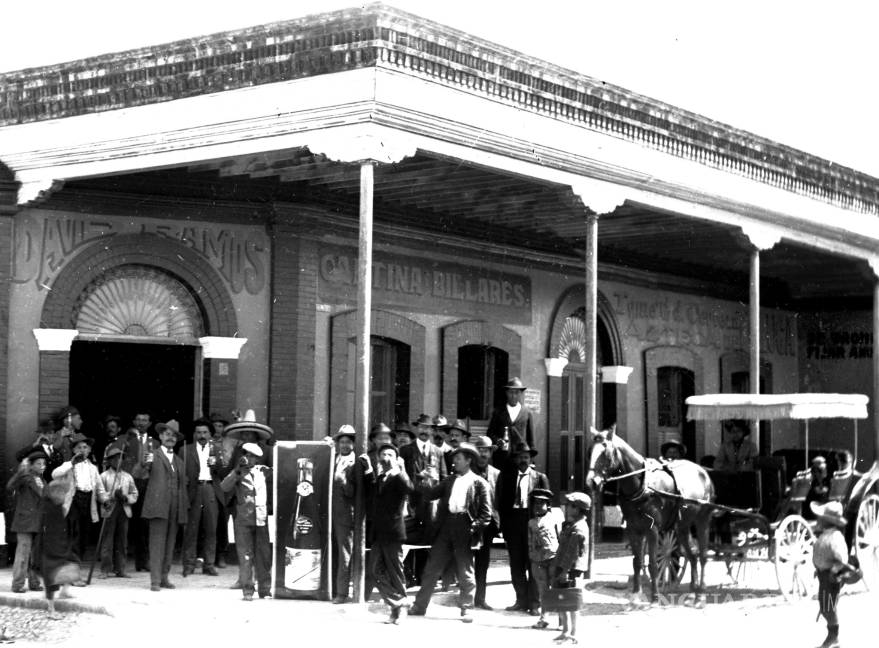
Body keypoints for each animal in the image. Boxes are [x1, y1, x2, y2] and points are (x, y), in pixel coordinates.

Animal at [587, 424, 715, 606]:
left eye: (605, 451)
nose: (591, 481)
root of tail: (703, 472)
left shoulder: (652, 530)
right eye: (590, 450)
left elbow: (653, 564)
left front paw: (654, 597)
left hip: (702, 519)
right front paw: (636, 595)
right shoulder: (633, 529)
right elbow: (637, 562)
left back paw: (701, 594)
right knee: (692, 555)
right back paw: (692, 593)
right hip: (682, 527)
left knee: (703, 555)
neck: (643, 485)